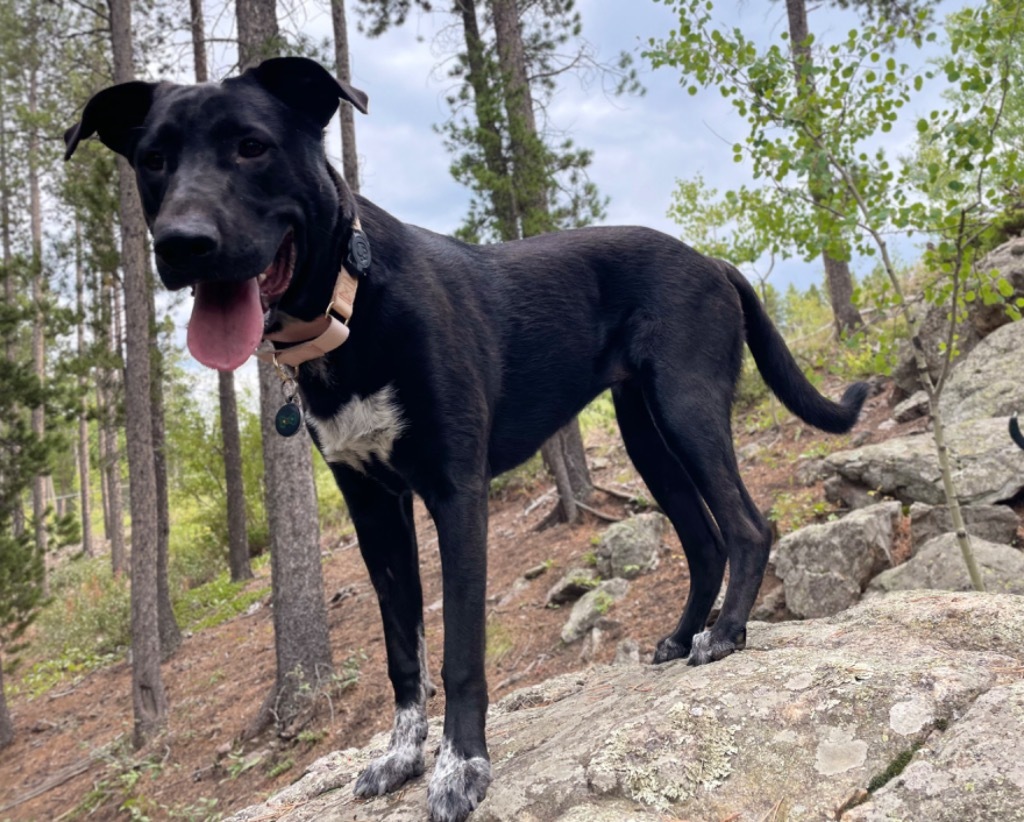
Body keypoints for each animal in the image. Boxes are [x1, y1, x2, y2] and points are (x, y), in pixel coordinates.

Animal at [61, 59, 864, 822]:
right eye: (154, 159)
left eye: (251, 147)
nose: (183, 244)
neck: (352, 306)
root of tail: (711, 260)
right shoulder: (374, 511)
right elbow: (403, 655)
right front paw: (401, 756)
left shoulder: (456, 494)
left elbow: (459, 655)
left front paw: (461, 769)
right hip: (646, 434)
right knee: (701, 539)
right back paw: (682, 633)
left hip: (686, 408)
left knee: (747, 525)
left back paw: (725, 633)